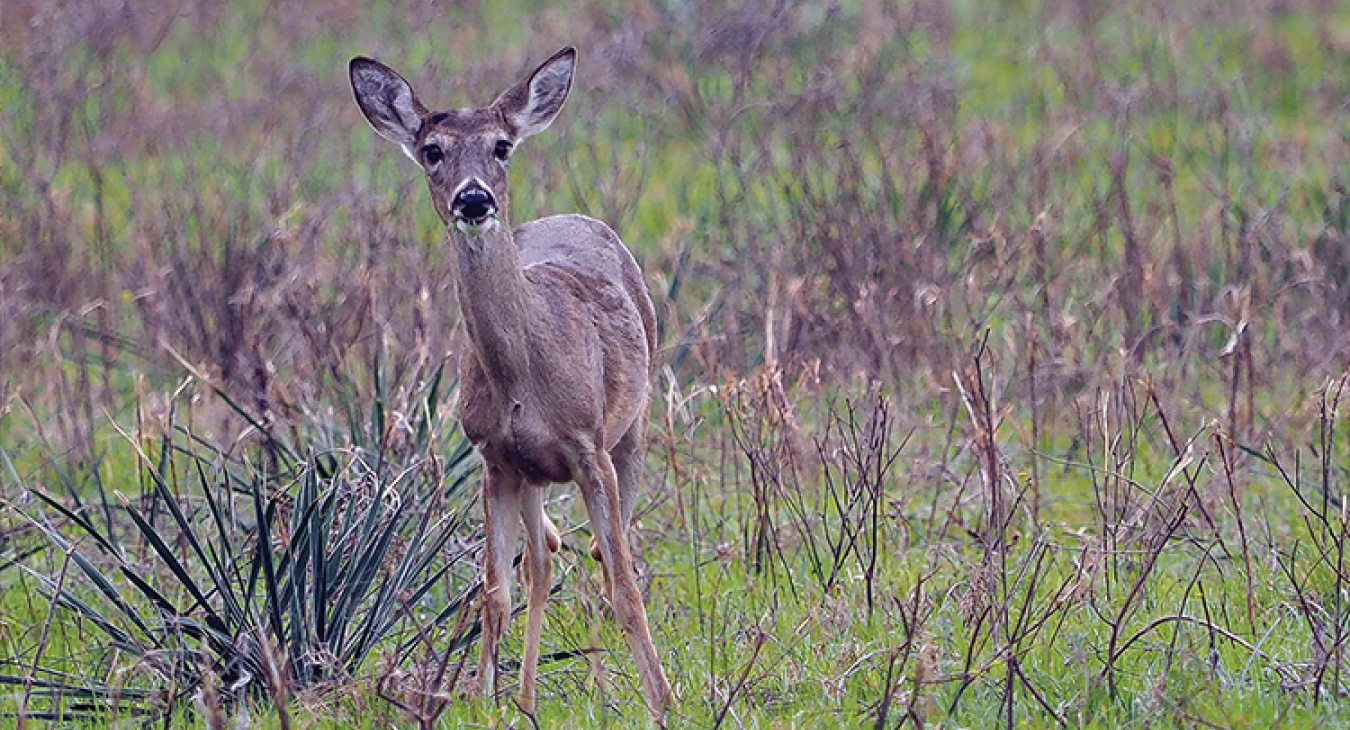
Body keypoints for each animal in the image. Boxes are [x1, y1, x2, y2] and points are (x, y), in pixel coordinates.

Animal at [351, 48, 672, 717]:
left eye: (502, 146)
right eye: (433, 150)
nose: (474, 200)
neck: (525, 378)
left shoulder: (588, 446)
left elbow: (625, 586)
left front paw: (663, 703)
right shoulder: (494, 458)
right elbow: (495, 593)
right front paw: (484, 701)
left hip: (633, 426)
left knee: (598, 553)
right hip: (531, 474)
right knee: (542, 562)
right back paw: (527, 697)